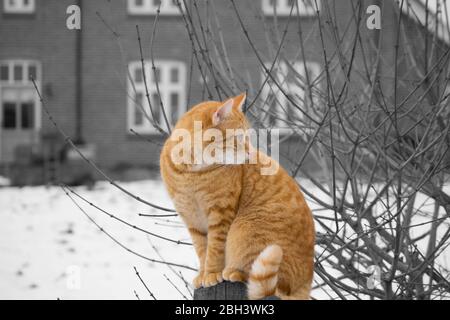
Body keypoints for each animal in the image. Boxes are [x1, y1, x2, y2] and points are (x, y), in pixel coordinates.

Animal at [160, 93, 314, 300]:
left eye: (248, 137)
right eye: (238, 138)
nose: (249, 152)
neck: (192, 171)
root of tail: (306, 283)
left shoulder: (221, 213)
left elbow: (214, 249)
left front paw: (212, 273)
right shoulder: (191, 218)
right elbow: (202, 249)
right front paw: (203, 274)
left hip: (245, 229)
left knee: (271, 285)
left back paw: (234, 272)